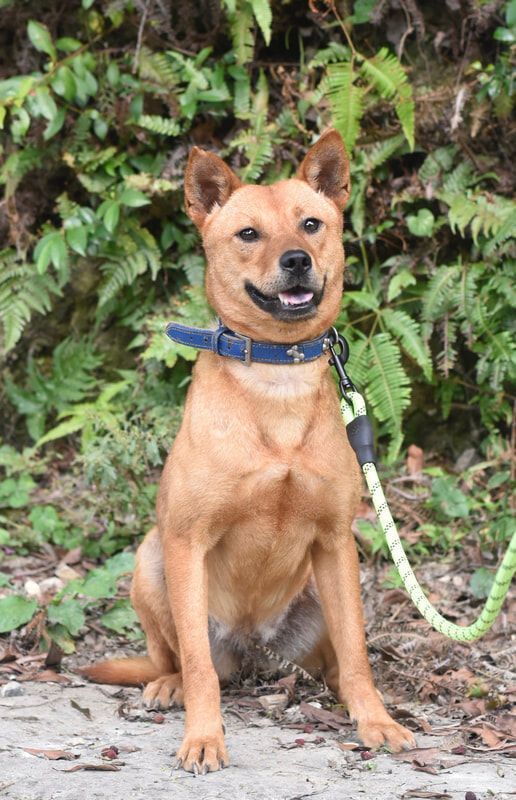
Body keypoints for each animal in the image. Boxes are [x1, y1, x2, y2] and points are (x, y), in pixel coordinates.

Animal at [82, 131, 418, 776]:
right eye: (247, 234)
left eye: (311, 224)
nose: (296, 260)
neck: (275, 380)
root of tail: (253, 650)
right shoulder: (187, 541)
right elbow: (197, 665)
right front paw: (203, 737)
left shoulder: (336, 542)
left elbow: (359, 653)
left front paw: (376, 720)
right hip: (152, 561)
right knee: (181, 659)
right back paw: (169, 686)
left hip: (320, 594)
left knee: (334, 662)